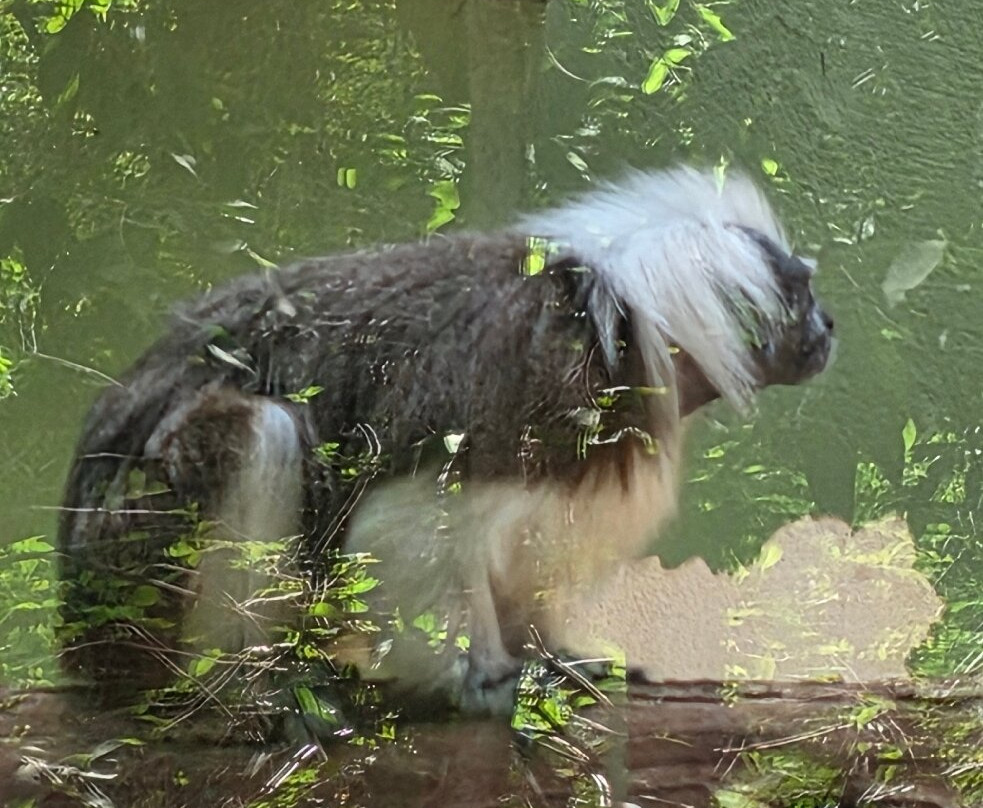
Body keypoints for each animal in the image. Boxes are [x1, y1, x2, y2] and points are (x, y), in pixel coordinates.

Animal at [57, 167, 833, 708]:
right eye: (800, 300)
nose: (829, 329)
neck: (623, 328)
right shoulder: (522, 400)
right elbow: (402, 529)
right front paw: (483, 677)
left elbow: (528, 554)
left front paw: (554, 655)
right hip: (129, 563)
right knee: (257, 429)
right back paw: (248, 685)